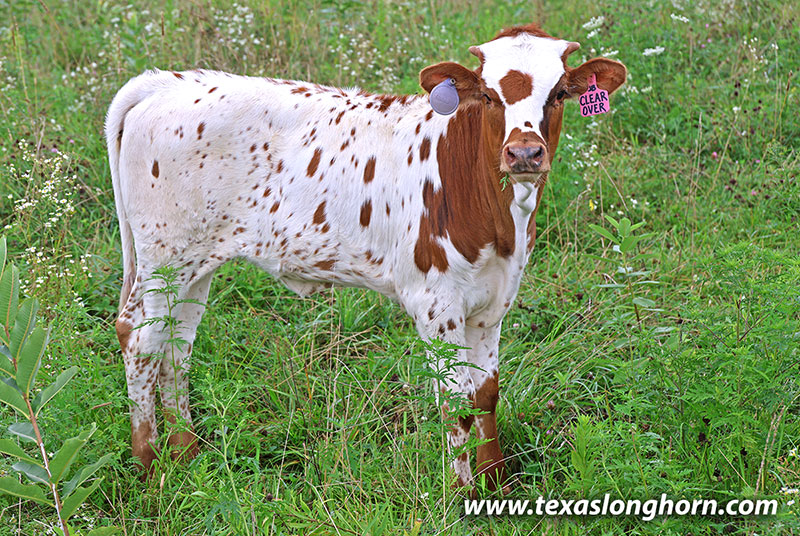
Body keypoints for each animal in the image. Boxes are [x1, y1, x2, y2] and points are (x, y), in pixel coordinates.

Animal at [106, 23, 626, 492]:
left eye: (559, 93)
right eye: (489, 95)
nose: (523, 153)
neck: (500, 218)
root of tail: (168, 82)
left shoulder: (493, 301)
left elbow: (484, 394)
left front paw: (496, 481)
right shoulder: (434, 304)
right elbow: (454, 400)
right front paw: (465, 494)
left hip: (196, 263)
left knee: (177, 341)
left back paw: (187, 454)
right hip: (164, 257)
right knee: (140, 339)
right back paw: (150, 467)